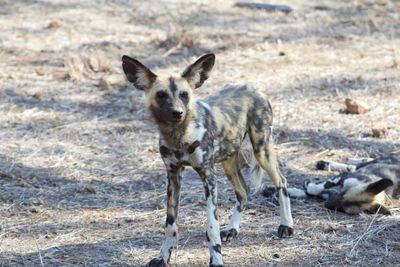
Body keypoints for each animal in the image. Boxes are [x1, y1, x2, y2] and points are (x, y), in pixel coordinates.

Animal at [120, 53, 292, 266]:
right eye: (161, 95)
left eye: (184, 94)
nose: (178, 112)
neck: (178, 137)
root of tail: (253, 87)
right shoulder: (173, 176)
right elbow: (170, 225)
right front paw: (162, 257)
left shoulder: (208, 177)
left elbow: (212, 227)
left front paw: (216, 260)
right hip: (228, 161)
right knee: (243, 191)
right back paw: (232, 229)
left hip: (261, 151)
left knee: (281, 181)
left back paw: (286, 225)